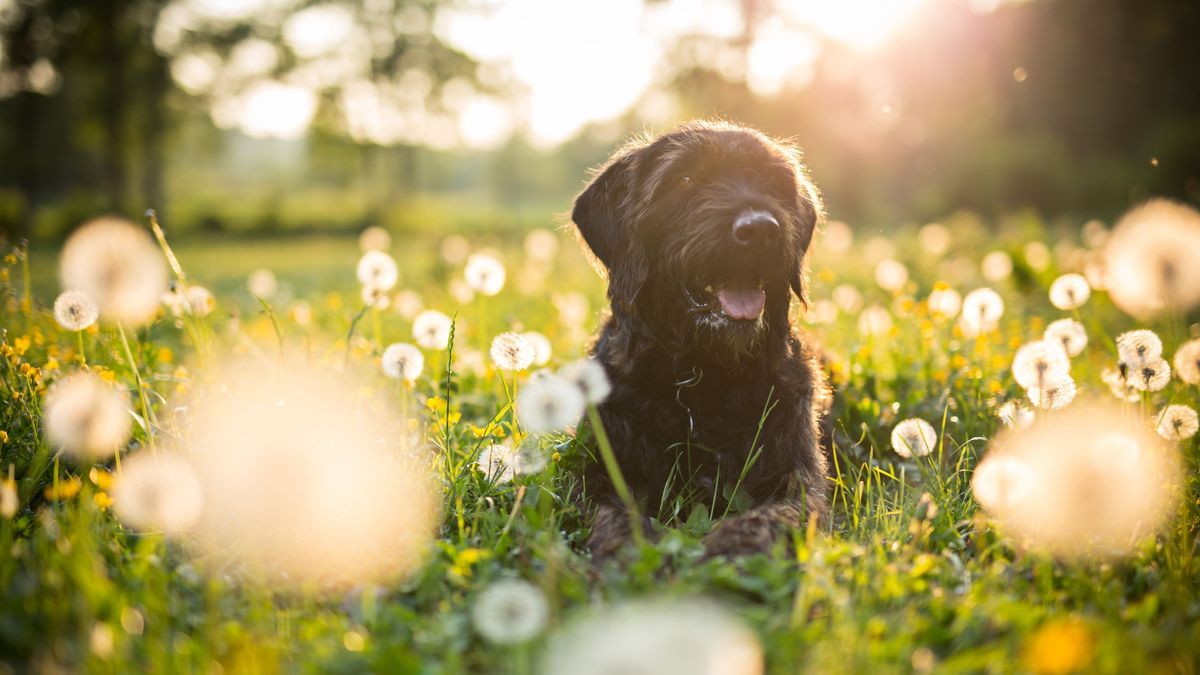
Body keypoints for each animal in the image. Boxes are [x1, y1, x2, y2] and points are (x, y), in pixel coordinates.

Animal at [571, 119, 835, 557]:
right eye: (685, 179)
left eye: (773, 182)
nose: (759, 229)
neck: (702, 379)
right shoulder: (593, 473)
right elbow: (612, 514)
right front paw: (633, 551)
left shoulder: (798, 478)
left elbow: (773, 514)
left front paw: (732, 548)